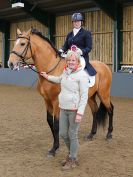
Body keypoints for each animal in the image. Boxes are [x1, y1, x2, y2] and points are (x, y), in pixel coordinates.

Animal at [8, 28, 113, 156]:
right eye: (14, 43)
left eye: (22, 44)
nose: (10, 63)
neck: (51, 69)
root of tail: (105, 67)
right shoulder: (47, 100)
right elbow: (49, 121)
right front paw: (55, 146)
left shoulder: (56, 102)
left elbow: (57, 124)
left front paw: (54, 149)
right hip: (90, 96)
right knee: (95, 111)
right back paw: (91, 135)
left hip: (104, 94)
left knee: (110, 109)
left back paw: (109, 134)